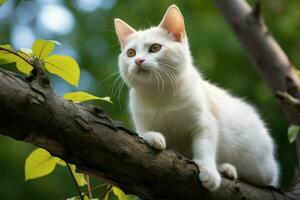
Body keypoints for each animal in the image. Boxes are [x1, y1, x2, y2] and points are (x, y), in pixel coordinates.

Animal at [114, 4, 278, 191]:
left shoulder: (205, 123)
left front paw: (209, 171)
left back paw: (227, 168)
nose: (138, 61)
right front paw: (153, 137)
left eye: (155, 48)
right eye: (130, 53)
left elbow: (204, 147)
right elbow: (141, 133)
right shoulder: (141, 121)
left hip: (260, 165)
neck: (160, 94)